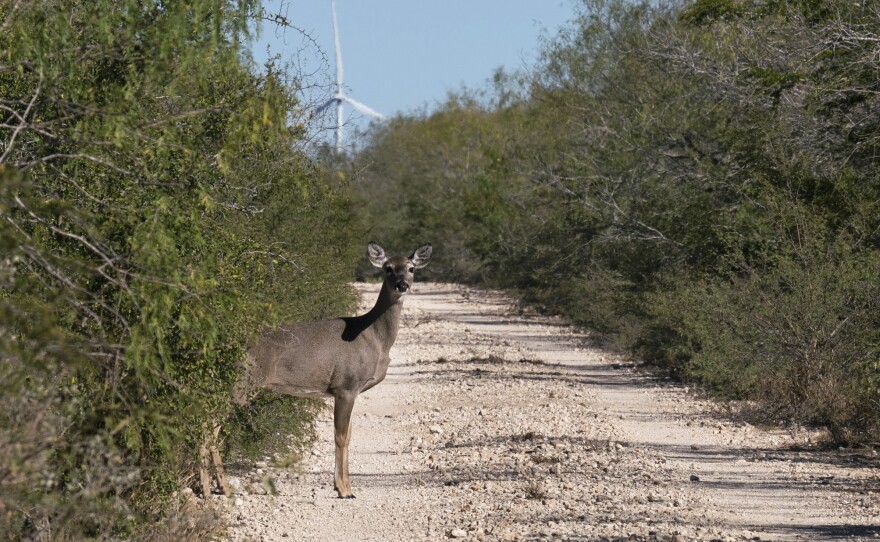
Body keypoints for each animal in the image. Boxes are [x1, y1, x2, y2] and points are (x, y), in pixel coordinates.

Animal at [226, 241, 433, 499]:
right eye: (388, 268)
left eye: (411, 268)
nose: (402, 285)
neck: (372, 337)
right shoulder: (345, 385)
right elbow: (341, 436)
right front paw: (345, 490)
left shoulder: (353, 390)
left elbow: (350, 435)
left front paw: (343, 486)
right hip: (244, 382)